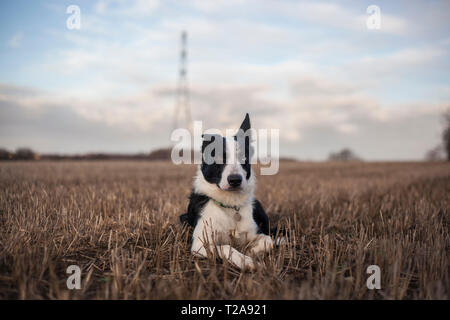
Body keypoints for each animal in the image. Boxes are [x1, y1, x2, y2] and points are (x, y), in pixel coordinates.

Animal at [179, 114, 274, 270]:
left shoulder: (256, 232)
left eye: (244, 157)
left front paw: (250, 251)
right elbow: (225, 247)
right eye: (218, 158)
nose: (235, 180)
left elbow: (268, 241)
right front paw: (246, 261)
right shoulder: (199, 245)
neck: (230, 204)